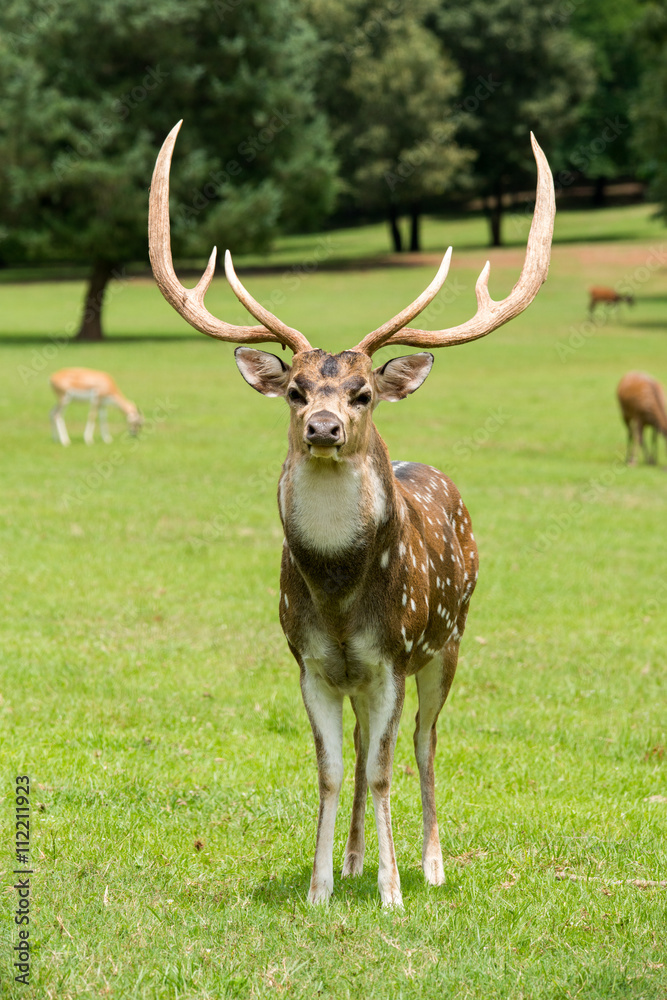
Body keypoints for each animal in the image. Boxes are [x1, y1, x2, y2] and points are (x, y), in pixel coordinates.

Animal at [149, 121, 555, 907]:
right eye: (296, 390)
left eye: (363, 392)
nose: (325, 427)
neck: (338, 598)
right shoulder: (309, 660)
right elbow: (334, 770)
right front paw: (319, 888)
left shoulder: (392, 654)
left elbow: (386, 767)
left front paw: (395, 894)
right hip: (367, 676)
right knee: (369, 743)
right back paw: (355, 861)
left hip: (448, 640)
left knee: (425, 743)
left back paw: (428, 864)